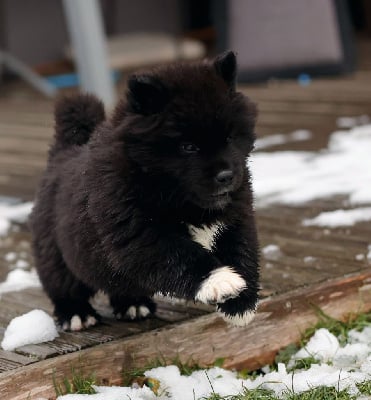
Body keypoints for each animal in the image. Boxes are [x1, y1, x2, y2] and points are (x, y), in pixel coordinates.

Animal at [30, 51, 260, 330]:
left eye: (229, 138)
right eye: (188, 147)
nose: (226, 176)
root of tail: (63, 152)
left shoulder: (235, 221)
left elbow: (242, 254)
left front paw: (241, 303)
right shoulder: (141, 235)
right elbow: (184, 256)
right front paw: (220, 280)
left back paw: (133, 304)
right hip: (56, 256)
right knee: (64, 286)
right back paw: (76, 314)